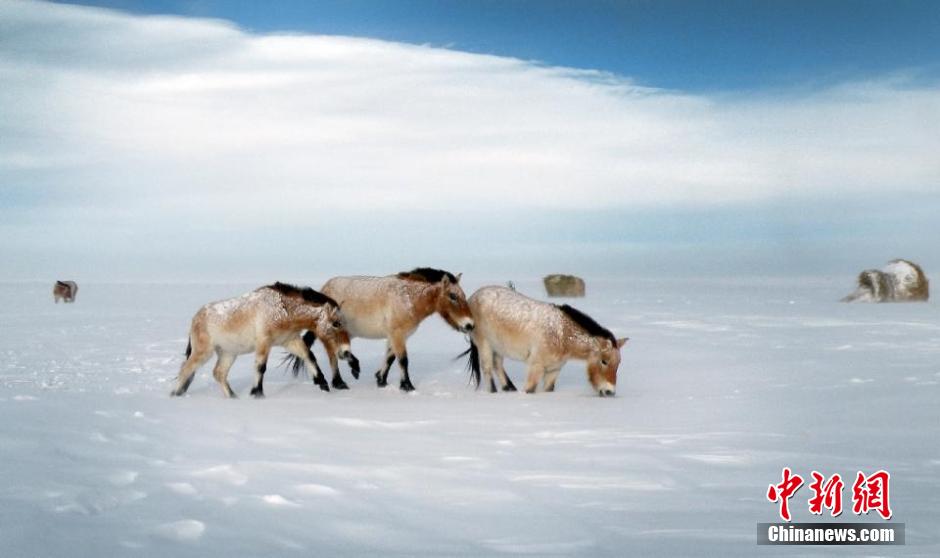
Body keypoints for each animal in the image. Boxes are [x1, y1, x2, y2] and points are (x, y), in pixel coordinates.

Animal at [171, 284, 358, 398]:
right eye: (336, 323)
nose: (346, 351)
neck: (283, 310)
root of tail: (196, 318)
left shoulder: (290, 340)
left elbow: (309, 356)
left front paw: (323, 384)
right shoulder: (264, 342)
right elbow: (260, 368)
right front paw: (257, 394)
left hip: (228, 354)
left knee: (219, 373)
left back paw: (233, 397)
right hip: (203, 352)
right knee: (185, 369)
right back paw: (174, 394)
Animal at [460, 288, 628, 398]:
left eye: (618, 364)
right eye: (604, 361)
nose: (609, 392)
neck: (562, 333)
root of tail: (473, 297)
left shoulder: (553, 370)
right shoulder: (536, 367)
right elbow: (529, 390)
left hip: (499, 347)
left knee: (497, 365)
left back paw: (509, 388)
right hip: (485, 345)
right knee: (488, 369)